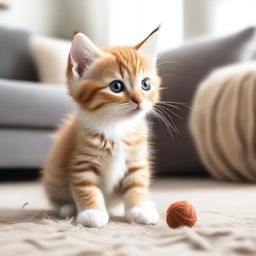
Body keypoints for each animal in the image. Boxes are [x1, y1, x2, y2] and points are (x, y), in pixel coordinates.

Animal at [42, 27, 161, 228]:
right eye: (116, 86)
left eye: (145, 84)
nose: (139, 100)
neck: (116, 127)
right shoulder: (81, 161)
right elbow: (86, 187)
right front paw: (92, 212)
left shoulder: (136, 160)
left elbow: (136, 185)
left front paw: (139, 209)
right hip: (54, 177)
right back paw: (68, 208)